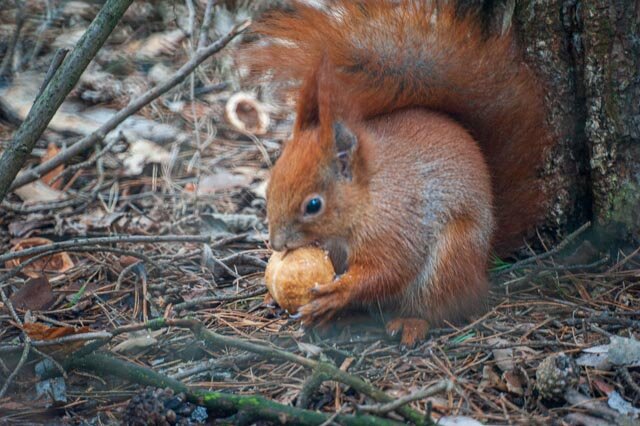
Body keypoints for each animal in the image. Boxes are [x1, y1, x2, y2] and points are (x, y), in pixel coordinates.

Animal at [242, 0, 552, 346]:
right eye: (268, 189)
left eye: (313, 205)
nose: (276, 243)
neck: (368, 197)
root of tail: (483, 261)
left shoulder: (397, 223)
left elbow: (389, 269)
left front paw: (338, 292)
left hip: (450, 260)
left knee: (438, 305)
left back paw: (409, 322)